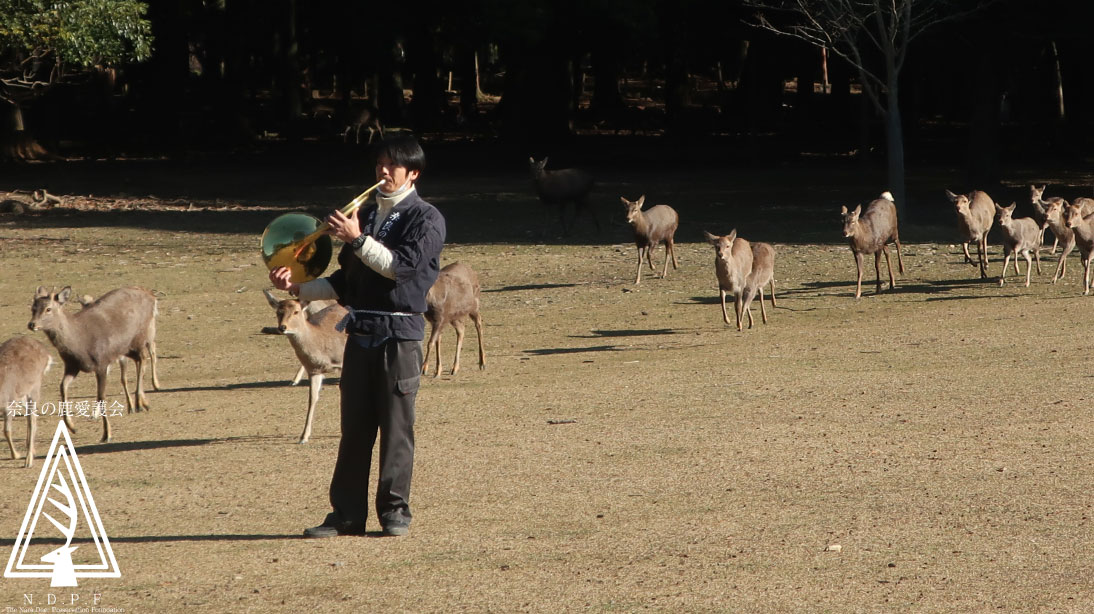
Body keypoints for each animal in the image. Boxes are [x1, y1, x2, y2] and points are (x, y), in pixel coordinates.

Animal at [0, 336, 52, 468]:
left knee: (32, 420)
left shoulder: (9, 403)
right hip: (23, 394)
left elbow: (6, 430)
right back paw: (31, 451)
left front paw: (16, 455)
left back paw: (28, 460)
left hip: (35, 388)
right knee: (32, 416)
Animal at [27, 286, 160, 443]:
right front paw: (72, 427)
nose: (32, 324)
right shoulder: (72, 366)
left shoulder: (102, 363)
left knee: (144, 357)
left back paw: (141, 402)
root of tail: (151, 295)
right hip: (127, 348)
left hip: (141, 336)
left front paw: (107, 433)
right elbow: (62, 387)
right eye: (33, 308)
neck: (79, 343)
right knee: (140, 360)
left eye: (48, 309)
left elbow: (101, 396)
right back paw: (139, 403)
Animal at [263, 290, 347, 444]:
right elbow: (312, 398)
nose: (282, 327)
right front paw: (303, 437)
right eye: (278, 312)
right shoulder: (314, 370)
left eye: (296, 311)